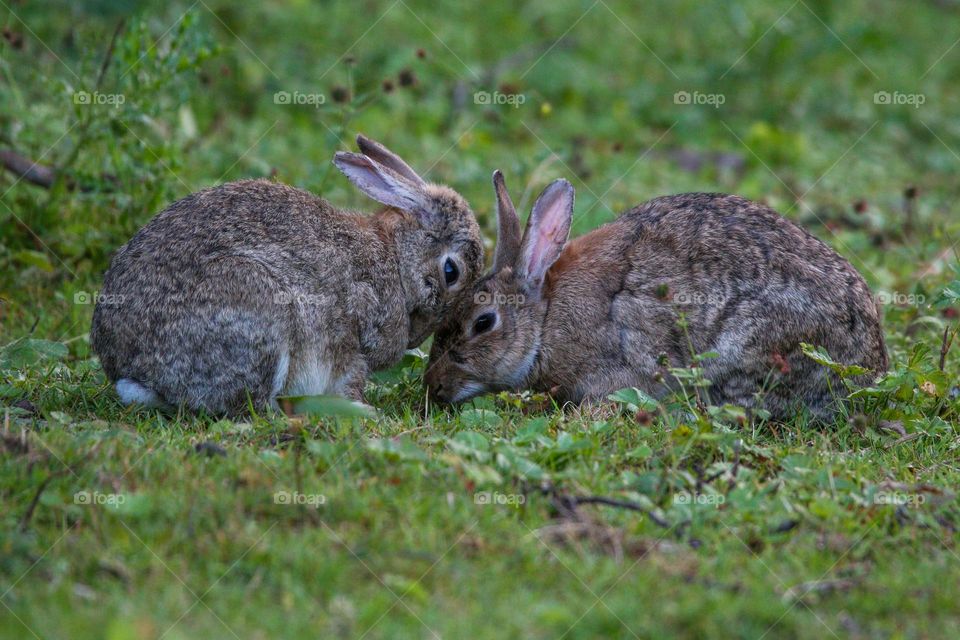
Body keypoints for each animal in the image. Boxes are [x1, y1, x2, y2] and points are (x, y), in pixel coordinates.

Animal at [91, 136, 484, 416]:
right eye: (452, 271)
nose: (415, 337)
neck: (395, 256)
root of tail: (130, 370)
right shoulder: (353, 336)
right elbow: (351, 376)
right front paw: (365, 409)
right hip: (258, 311)